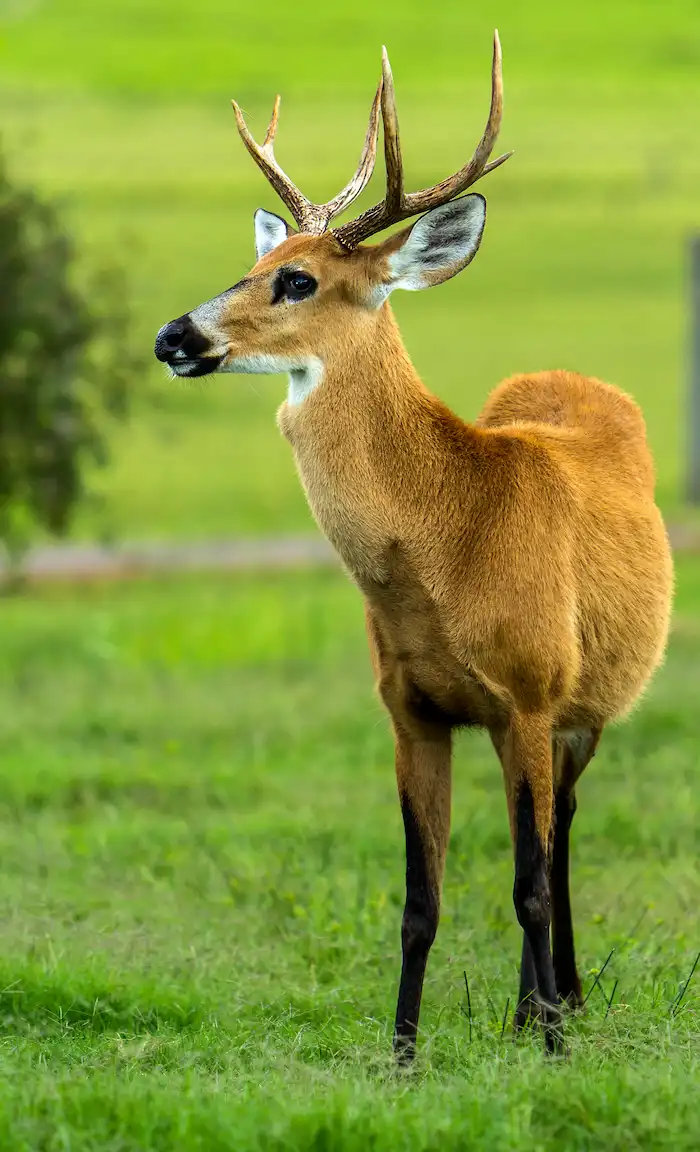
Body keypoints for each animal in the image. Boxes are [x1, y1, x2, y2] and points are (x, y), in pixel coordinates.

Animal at [154, 33, 672, 1059]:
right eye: (256, 260)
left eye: (298, 280)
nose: (172, 336)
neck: (449, 541)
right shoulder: (410, 709)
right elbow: (419, 900)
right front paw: (402, 1055)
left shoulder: (530, 693)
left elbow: (528, 884)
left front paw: (554, 1052)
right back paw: (532, 1005)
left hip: (585, 706)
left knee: (559, 839)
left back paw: (558, 1004)